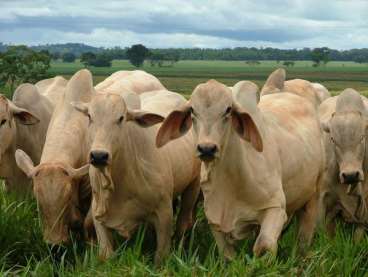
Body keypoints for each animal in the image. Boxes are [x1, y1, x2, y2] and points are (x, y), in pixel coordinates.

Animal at [70, 89, 200, 264]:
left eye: (121, 118)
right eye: (90, 116)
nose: (99, 156)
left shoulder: (164, 213)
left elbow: (161, 256)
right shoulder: (99, 214)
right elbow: (106, 254)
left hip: (193, 186)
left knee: (183, 222)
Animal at [156, 74, 324, 258]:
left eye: (228, 110)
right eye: (193, 110)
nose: (207, 148)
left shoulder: (276, 208)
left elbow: (263, 246)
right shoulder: (215, 219)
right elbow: (227, 255)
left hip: (314, 195)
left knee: (305, 234)